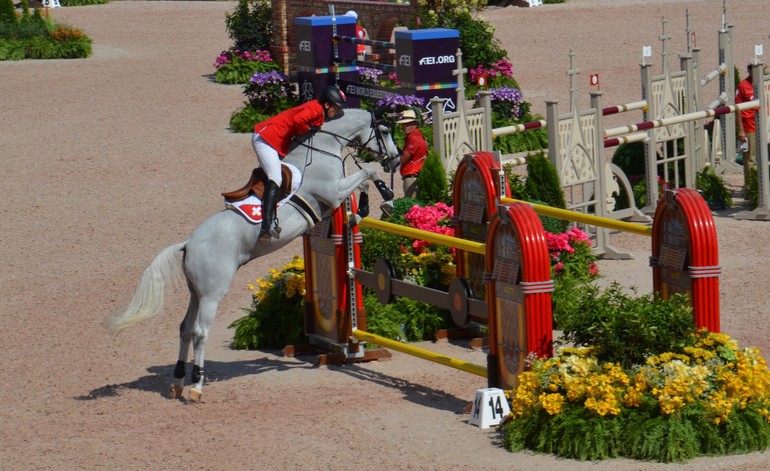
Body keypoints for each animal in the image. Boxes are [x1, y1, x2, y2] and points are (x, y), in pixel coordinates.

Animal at [104, 109, 400, 402]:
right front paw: (384, 199)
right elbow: (367, 172)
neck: (323, 147)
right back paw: (197, 385)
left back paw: (178, 382)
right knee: (200, 333)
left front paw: (369, 207)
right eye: (385, 131)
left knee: (185, 329)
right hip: (212, 293)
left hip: (195, 293)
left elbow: (364, 178)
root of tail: (188, 243)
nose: (396, 161)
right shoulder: (334, 193)